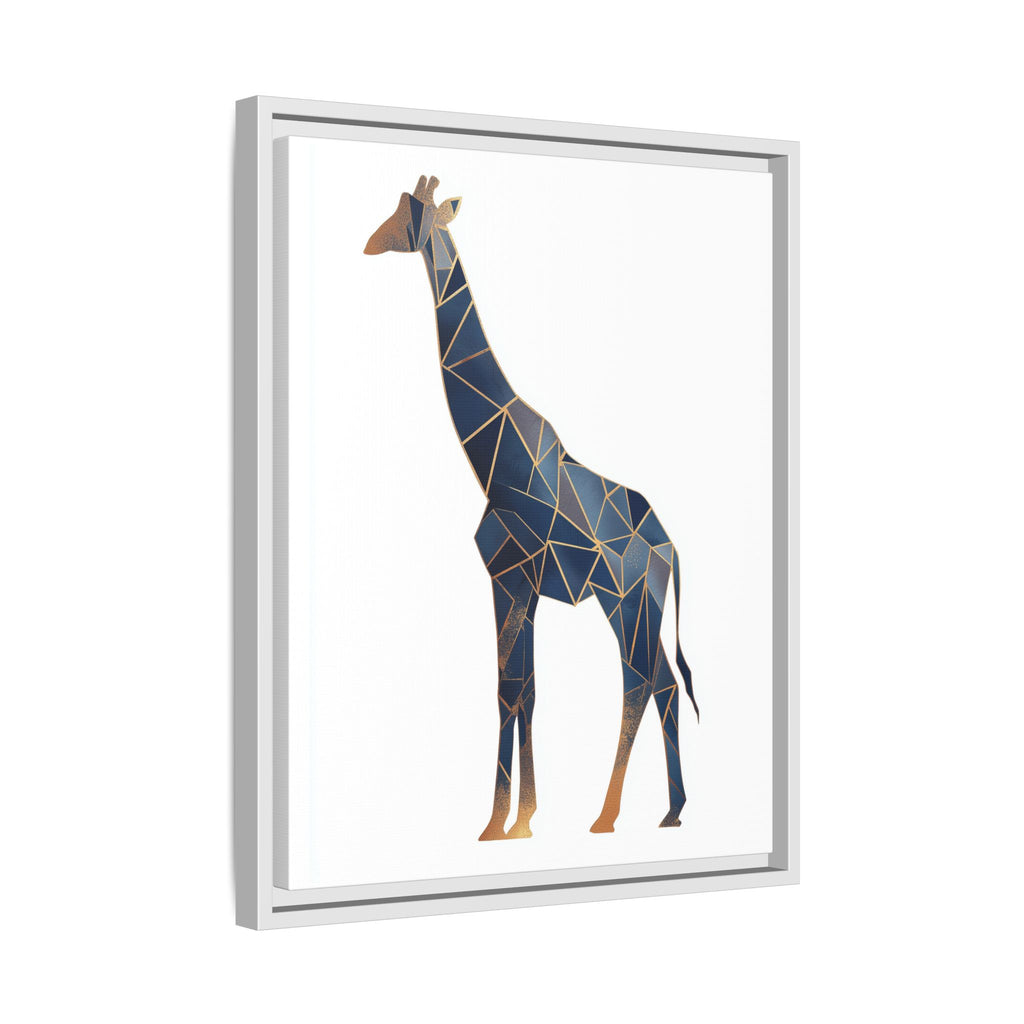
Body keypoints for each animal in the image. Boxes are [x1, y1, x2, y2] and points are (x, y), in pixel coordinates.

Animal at [364, 175, 699, 840]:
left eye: (409, 214)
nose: (369, 242)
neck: (494, 461)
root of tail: (670, 549)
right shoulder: (522, 585)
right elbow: (526, 690)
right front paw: (522, 819)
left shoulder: (508, 576)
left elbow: (507, 690)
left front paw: (499, 823)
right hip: (641, 603)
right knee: (665, 684)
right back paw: (671, 811)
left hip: (622, 599)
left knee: (639, 681)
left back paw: (608, 815)